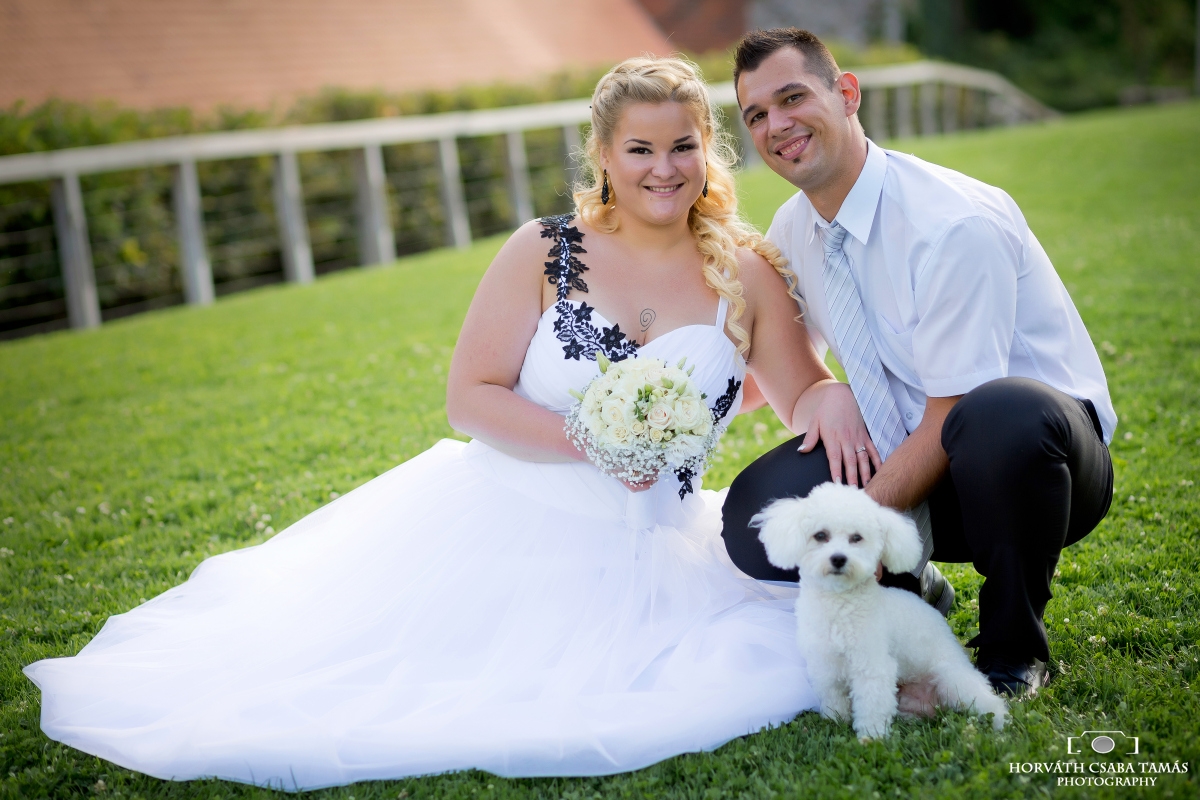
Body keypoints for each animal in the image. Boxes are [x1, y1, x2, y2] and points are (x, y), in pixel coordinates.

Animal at [752, 483, 1008, 739]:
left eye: (857, 538)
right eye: (820, 536)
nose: (838, 559)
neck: (839, 604)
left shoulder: (872, 665)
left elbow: (871, 703)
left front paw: (871, 736)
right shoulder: (824, 663)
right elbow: (833, 697)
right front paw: (836, 720)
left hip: (952, 678)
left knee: (985, 699)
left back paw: (1000, 723)